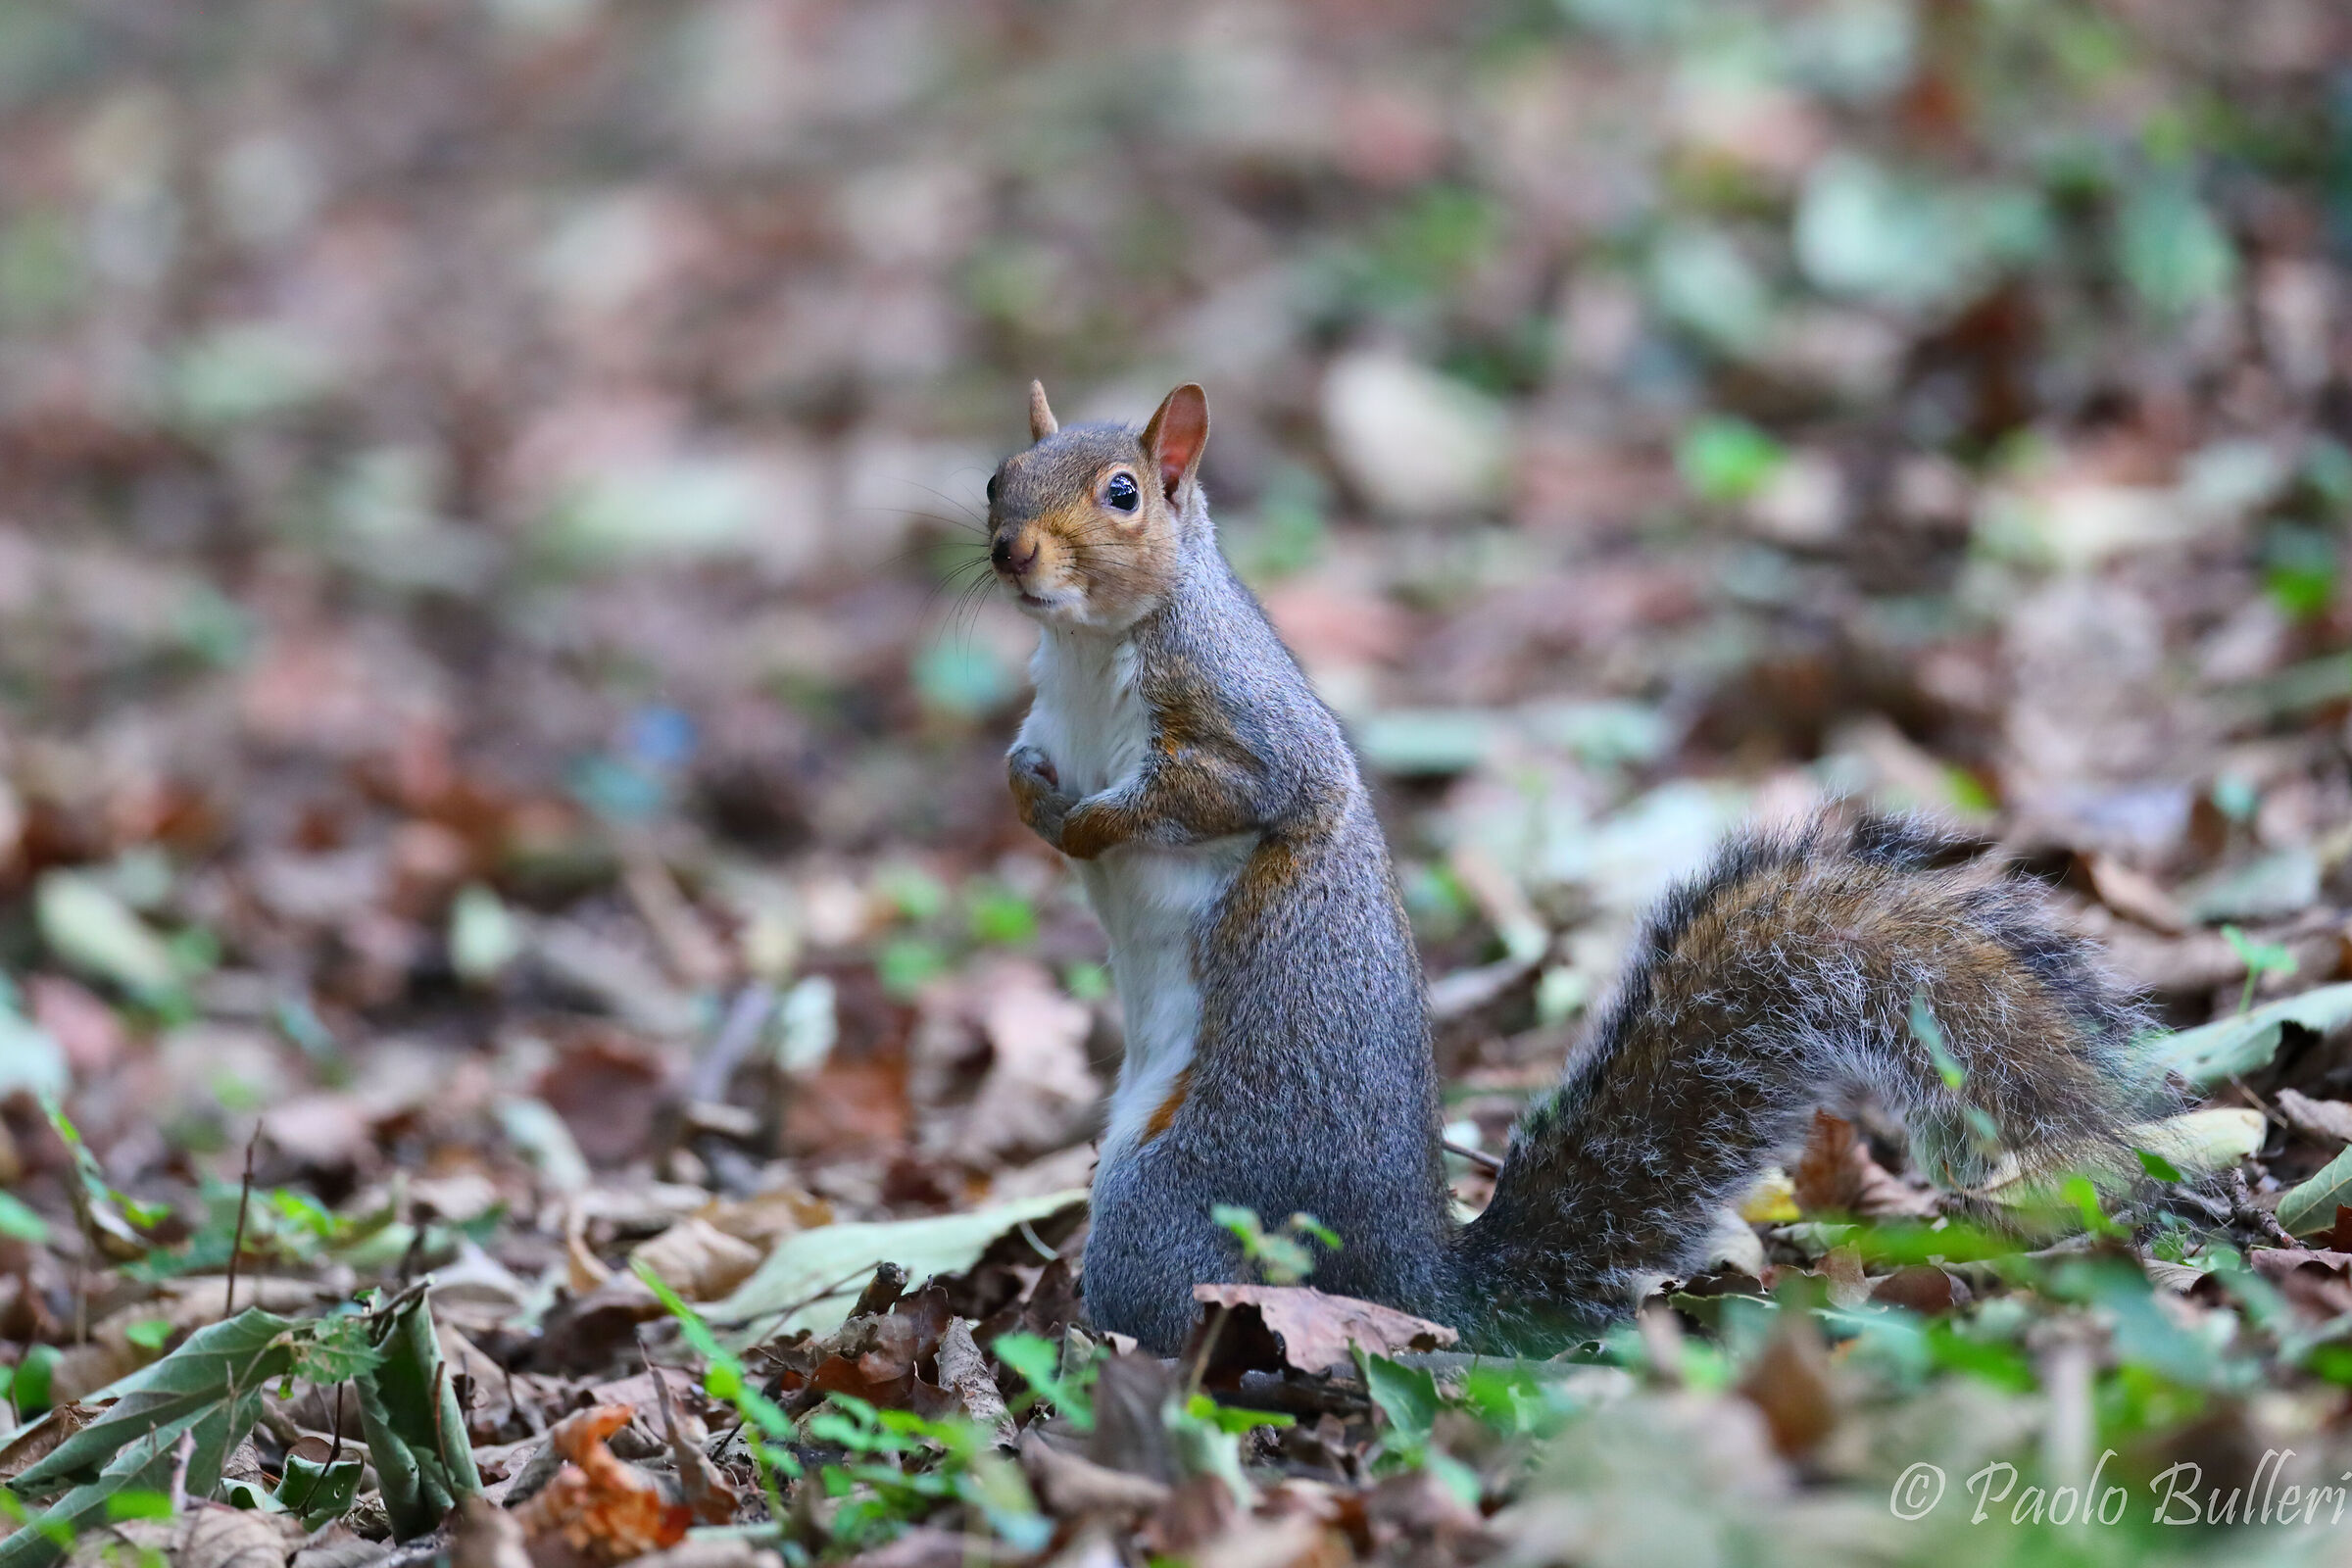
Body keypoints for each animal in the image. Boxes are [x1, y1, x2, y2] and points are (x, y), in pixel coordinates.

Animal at [987, 378, 2172, 1355]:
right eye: (998, 476)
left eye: (1124, 494)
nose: (1011, 554)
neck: (1091, 649)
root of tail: (1409, 1283)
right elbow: (1023, 765)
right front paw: (1034, 800)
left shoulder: (1247, 727)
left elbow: (1214, 797)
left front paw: (1090, 825)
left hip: (1171, 1205)